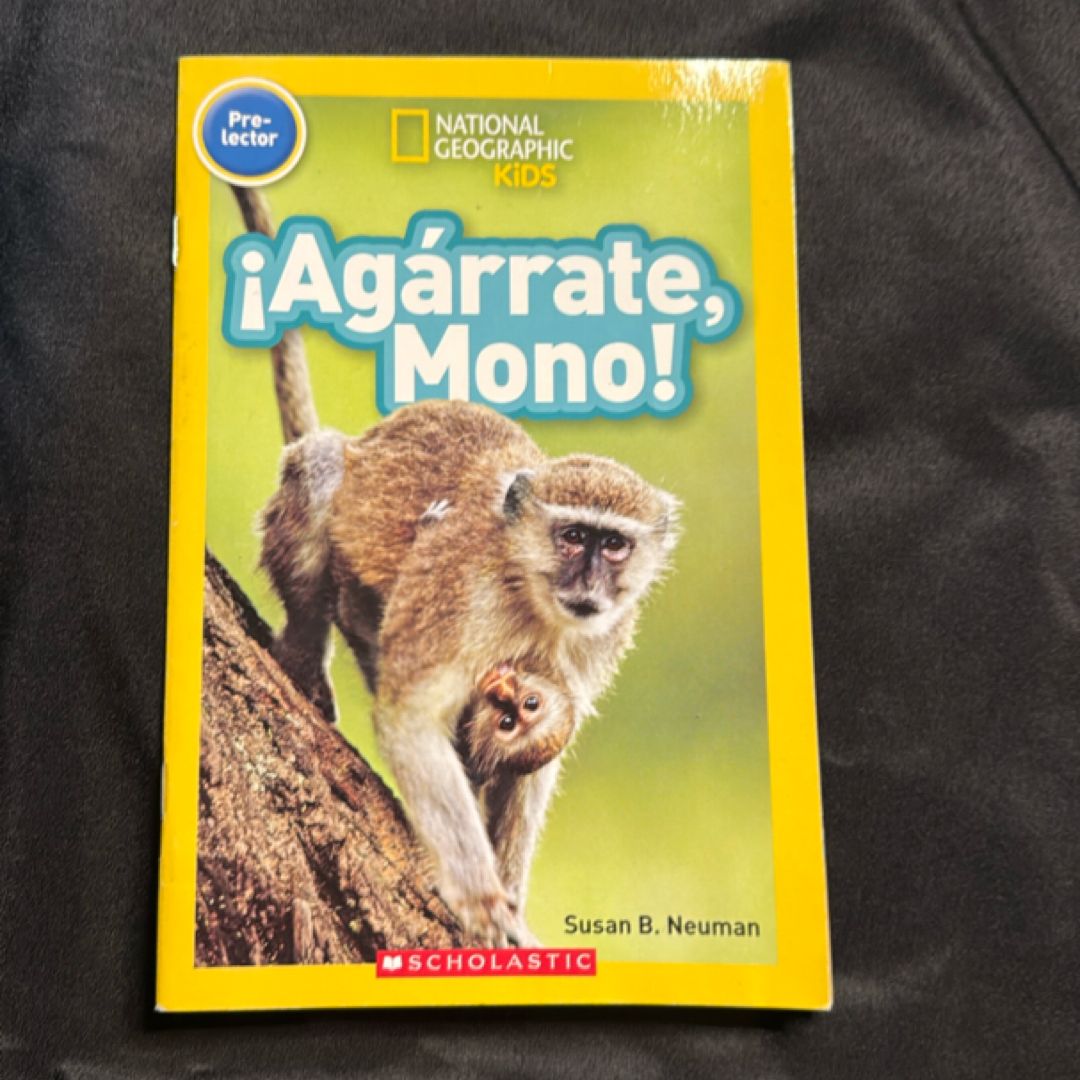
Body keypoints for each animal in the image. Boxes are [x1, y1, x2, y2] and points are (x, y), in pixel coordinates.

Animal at [234, 186, 680, 946]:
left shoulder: (596, 642)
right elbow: (413, 717)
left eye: (614, 546)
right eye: (573, 537)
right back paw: (304, 651)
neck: (532, 597)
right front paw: (480, 896)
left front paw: (514, 901)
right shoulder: (459, 596)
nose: (589, 583)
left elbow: (538, 762)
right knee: (320, 471)